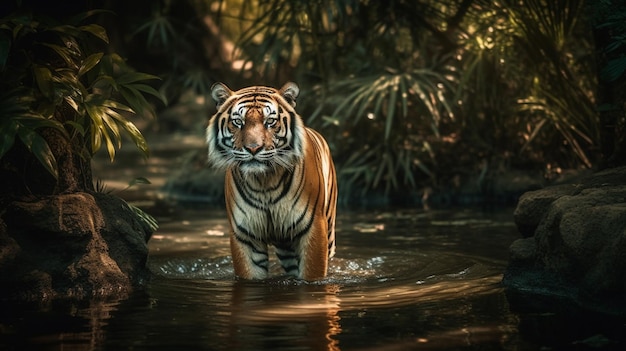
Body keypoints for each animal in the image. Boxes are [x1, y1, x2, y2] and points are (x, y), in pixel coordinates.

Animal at [206, 82, 336, 280]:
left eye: (270, 121)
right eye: (238, 122)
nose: (253, 148)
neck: (264, 181)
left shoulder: (314, 227)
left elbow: (312, 272)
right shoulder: (245, 234)